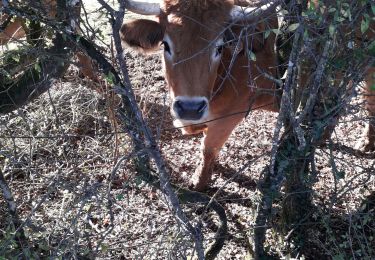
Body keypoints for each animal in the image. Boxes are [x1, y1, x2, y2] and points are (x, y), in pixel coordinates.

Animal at [121, 0, 375, 191]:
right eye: (166, 45)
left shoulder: (230, 115)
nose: (190, 108)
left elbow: (209, 146)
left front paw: (200, 181)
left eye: (219, 47)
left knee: (368, 100)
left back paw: (365, 141)